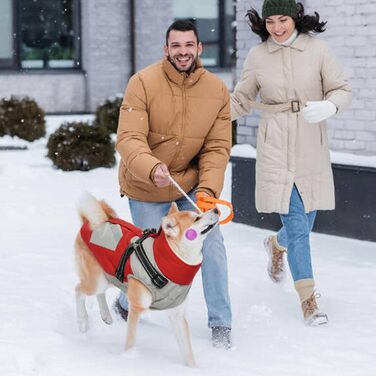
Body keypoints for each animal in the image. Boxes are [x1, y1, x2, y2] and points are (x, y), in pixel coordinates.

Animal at [74, 192, 219, 366]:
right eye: (197, 218)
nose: (216, 209)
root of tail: (90, 222)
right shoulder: (136, 307)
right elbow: (131, 340)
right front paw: (128, 357)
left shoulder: (177, 314)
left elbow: (187, 350)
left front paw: (193, 368)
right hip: (97, 281)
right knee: (78, 290)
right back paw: (82, 322)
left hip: (109, 277)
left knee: (98, 293)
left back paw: (106, 316)